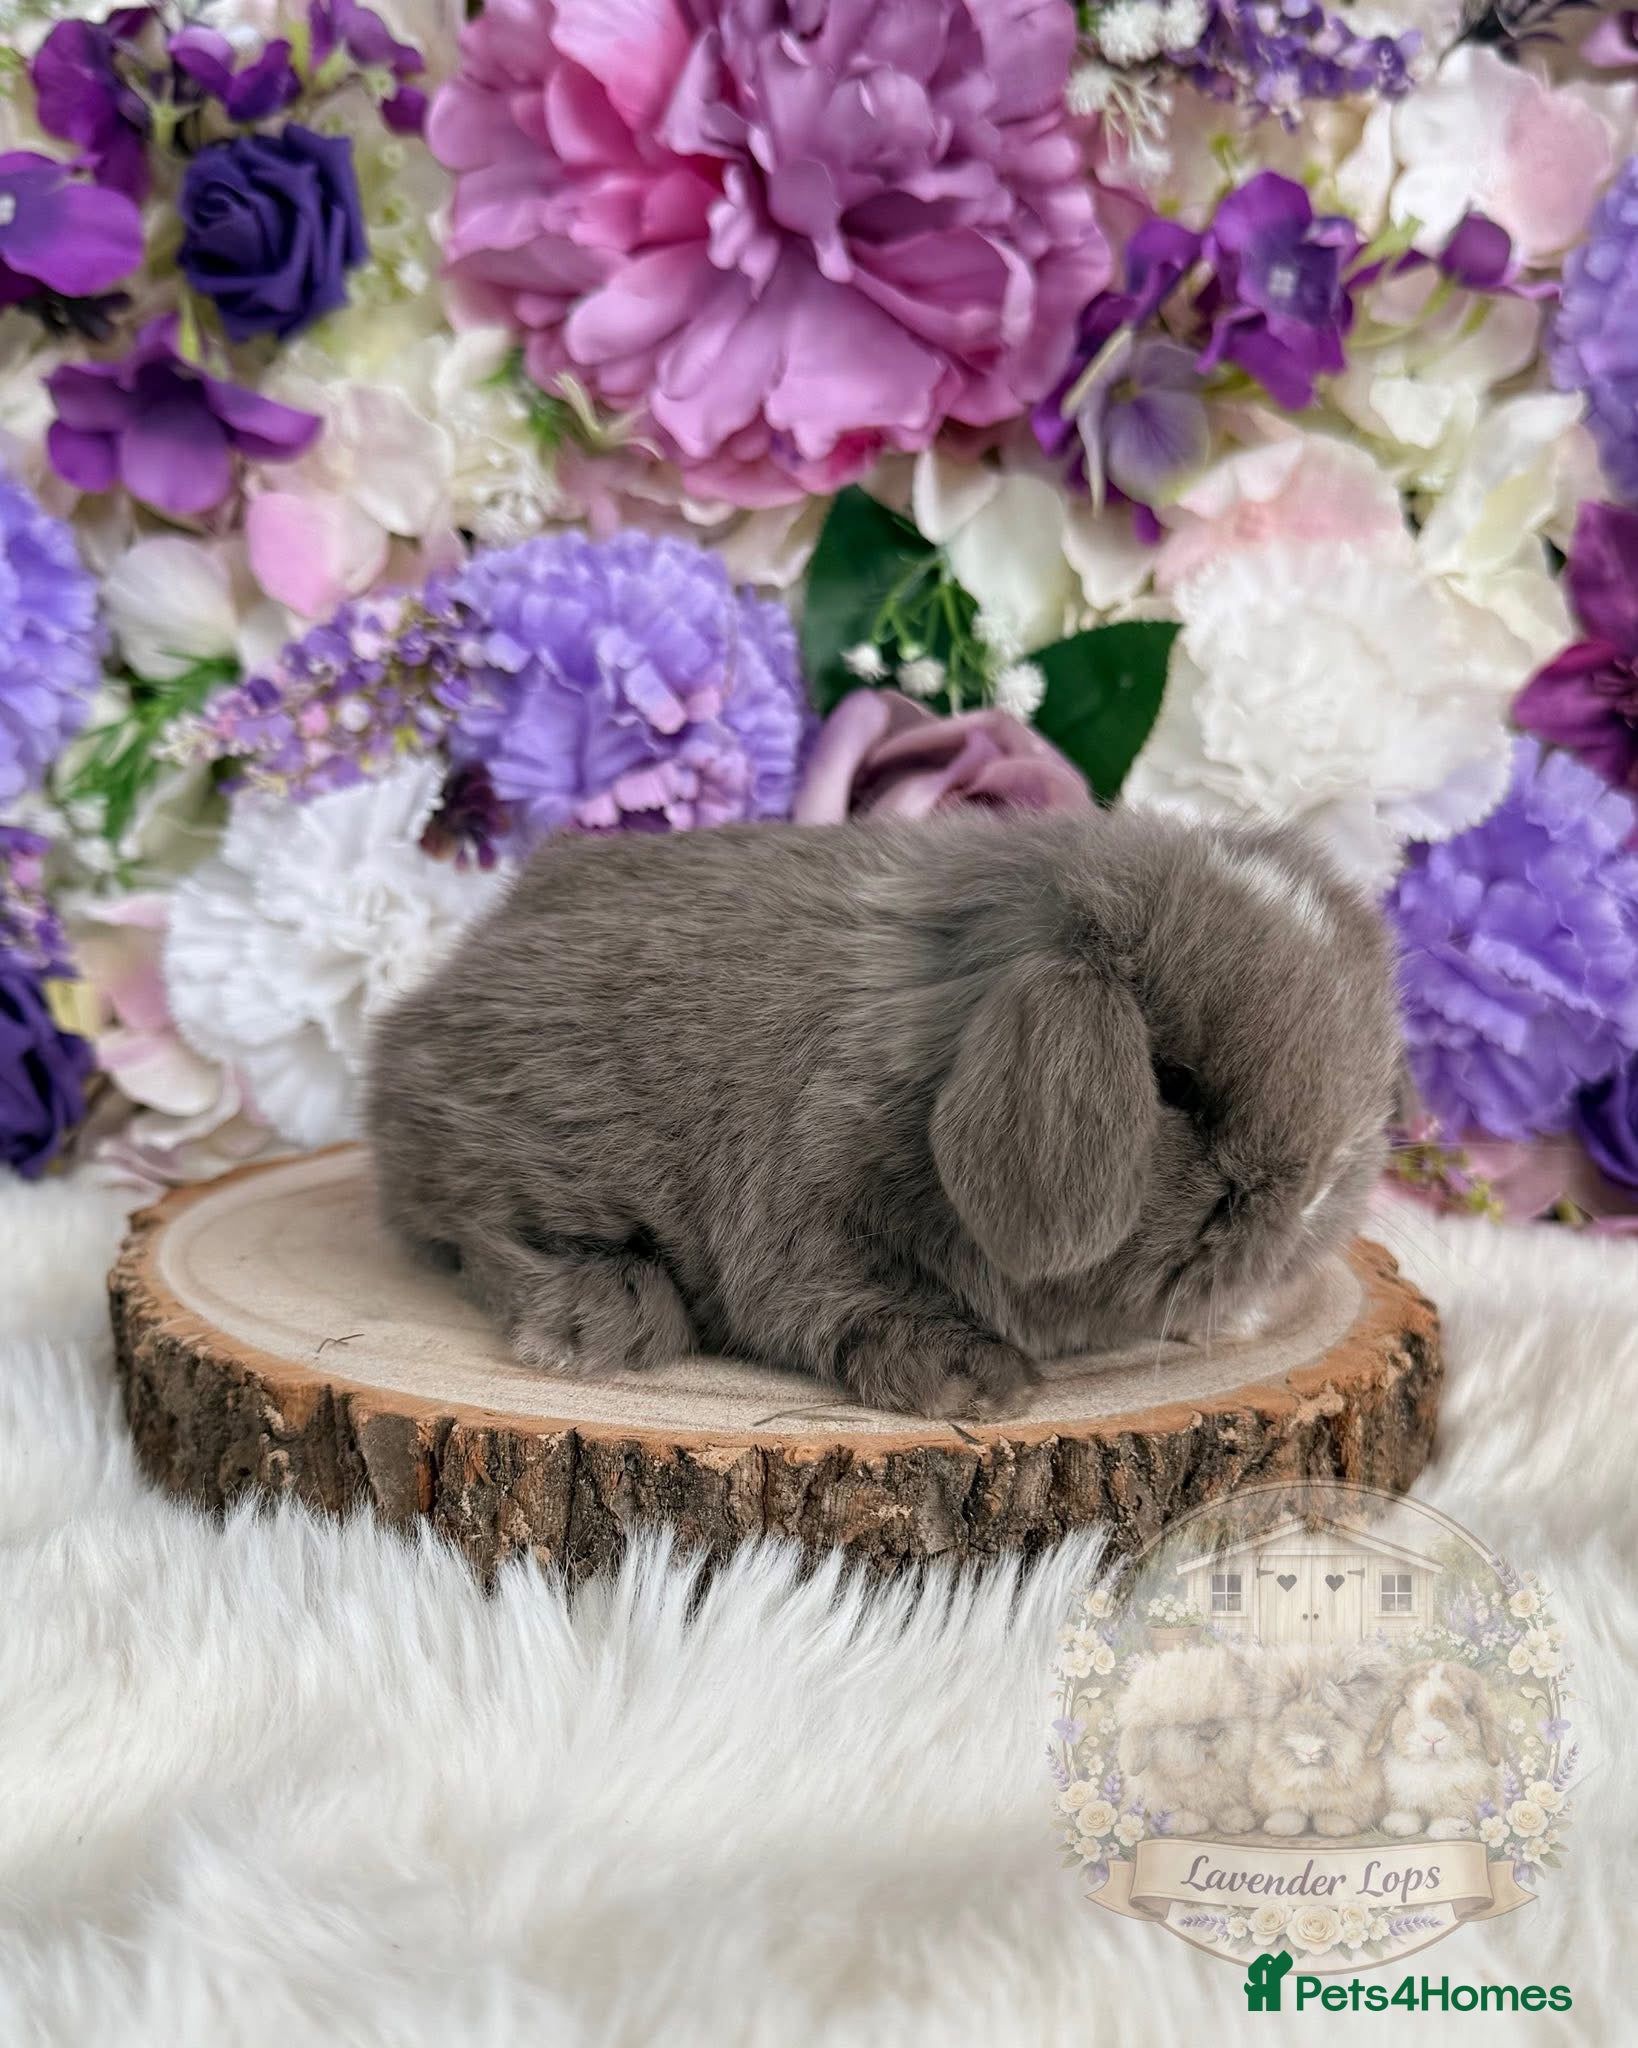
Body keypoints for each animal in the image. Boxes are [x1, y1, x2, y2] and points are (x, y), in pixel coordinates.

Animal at [364, 804, 1402, 1416]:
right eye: (1174, 1083)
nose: (1314, 1190)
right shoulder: (807, 1223)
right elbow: (857, 1303)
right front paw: (978, 1390)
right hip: (527, 1143)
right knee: (493, 1241)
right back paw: (598, 1331)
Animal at [1114, 1645, 1258, 1835]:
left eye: (1225, 1716)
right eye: (1181, 1724)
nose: (1210, 1735)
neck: (1205, 1773)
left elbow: (1227, 1808)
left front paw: (1239, 1821)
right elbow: (1171, 1815)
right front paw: (1192, 1823)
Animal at [1248, 1643, 1393, 1838]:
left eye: (1335, 1717)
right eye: (1284, 1714)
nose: (1309, 1750)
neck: (1312, 1775)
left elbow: (1332, 1812)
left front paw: (1336, 1827)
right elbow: (1290, 1810)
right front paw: (1279, 1827)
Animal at [1369, 1659, 1503, 1840]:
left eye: (1466, 1708)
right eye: (1405, 1703)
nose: (1432, 1737)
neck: (1432, 1767)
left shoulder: (1461, 1799)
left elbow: (1452, 1812)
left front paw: (1452, 1829)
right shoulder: (1401, 1790)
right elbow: (1406, 1810)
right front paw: (1397, 1825)